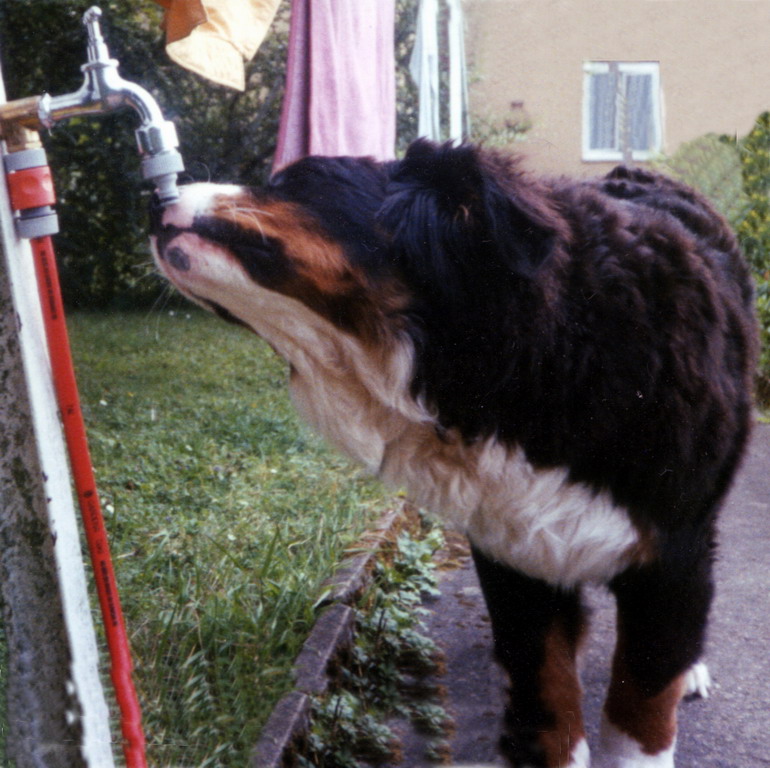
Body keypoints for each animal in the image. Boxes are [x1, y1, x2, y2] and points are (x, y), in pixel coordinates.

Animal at [148, 140, 756, 768]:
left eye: (298, 180)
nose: (149, 202)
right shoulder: (516, 550)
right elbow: (547, 688)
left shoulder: (668, 551)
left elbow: (641, 705)